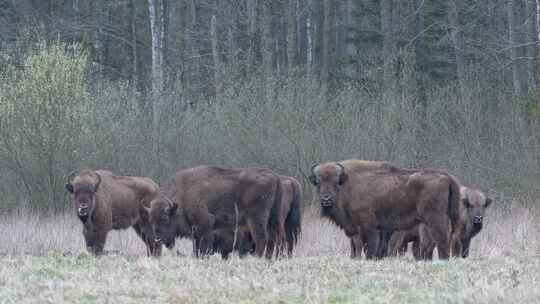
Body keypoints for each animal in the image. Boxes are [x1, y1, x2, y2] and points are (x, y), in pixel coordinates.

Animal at [146, 165, 284, 258]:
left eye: (165, 218)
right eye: (151, 219)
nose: (157, 239)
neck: (183, 192)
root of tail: (275, 177)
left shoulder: (205, 225)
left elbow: (203, 248)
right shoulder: (195, 231)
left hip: (255, 219)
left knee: (261, 238)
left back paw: (257, 258)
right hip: (273, 219)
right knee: (273, 239)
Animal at [308, 160, 460, 260]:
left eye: (336, 182)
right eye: (318, 183)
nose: (326, 199)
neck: (348, 184)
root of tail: (447, 177)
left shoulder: (370, 228)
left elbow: (370, 248)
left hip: (435, 220)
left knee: (441, 240)